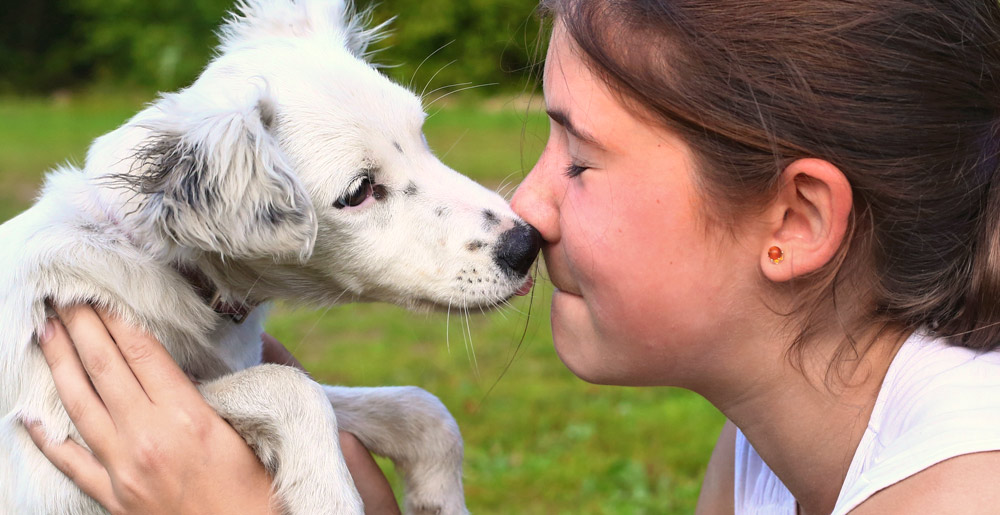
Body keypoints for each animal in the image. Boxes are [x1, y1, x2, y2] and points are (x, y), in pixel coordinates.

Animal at [0, 1, 540, 515]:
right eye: (359, 191)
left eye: (421, 135)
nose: (527, 246)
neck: (158, 261)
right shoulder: (57, 451)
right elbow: (290, 385)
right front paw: (329, 499)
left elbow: (419, 408)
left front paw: (438, 498)